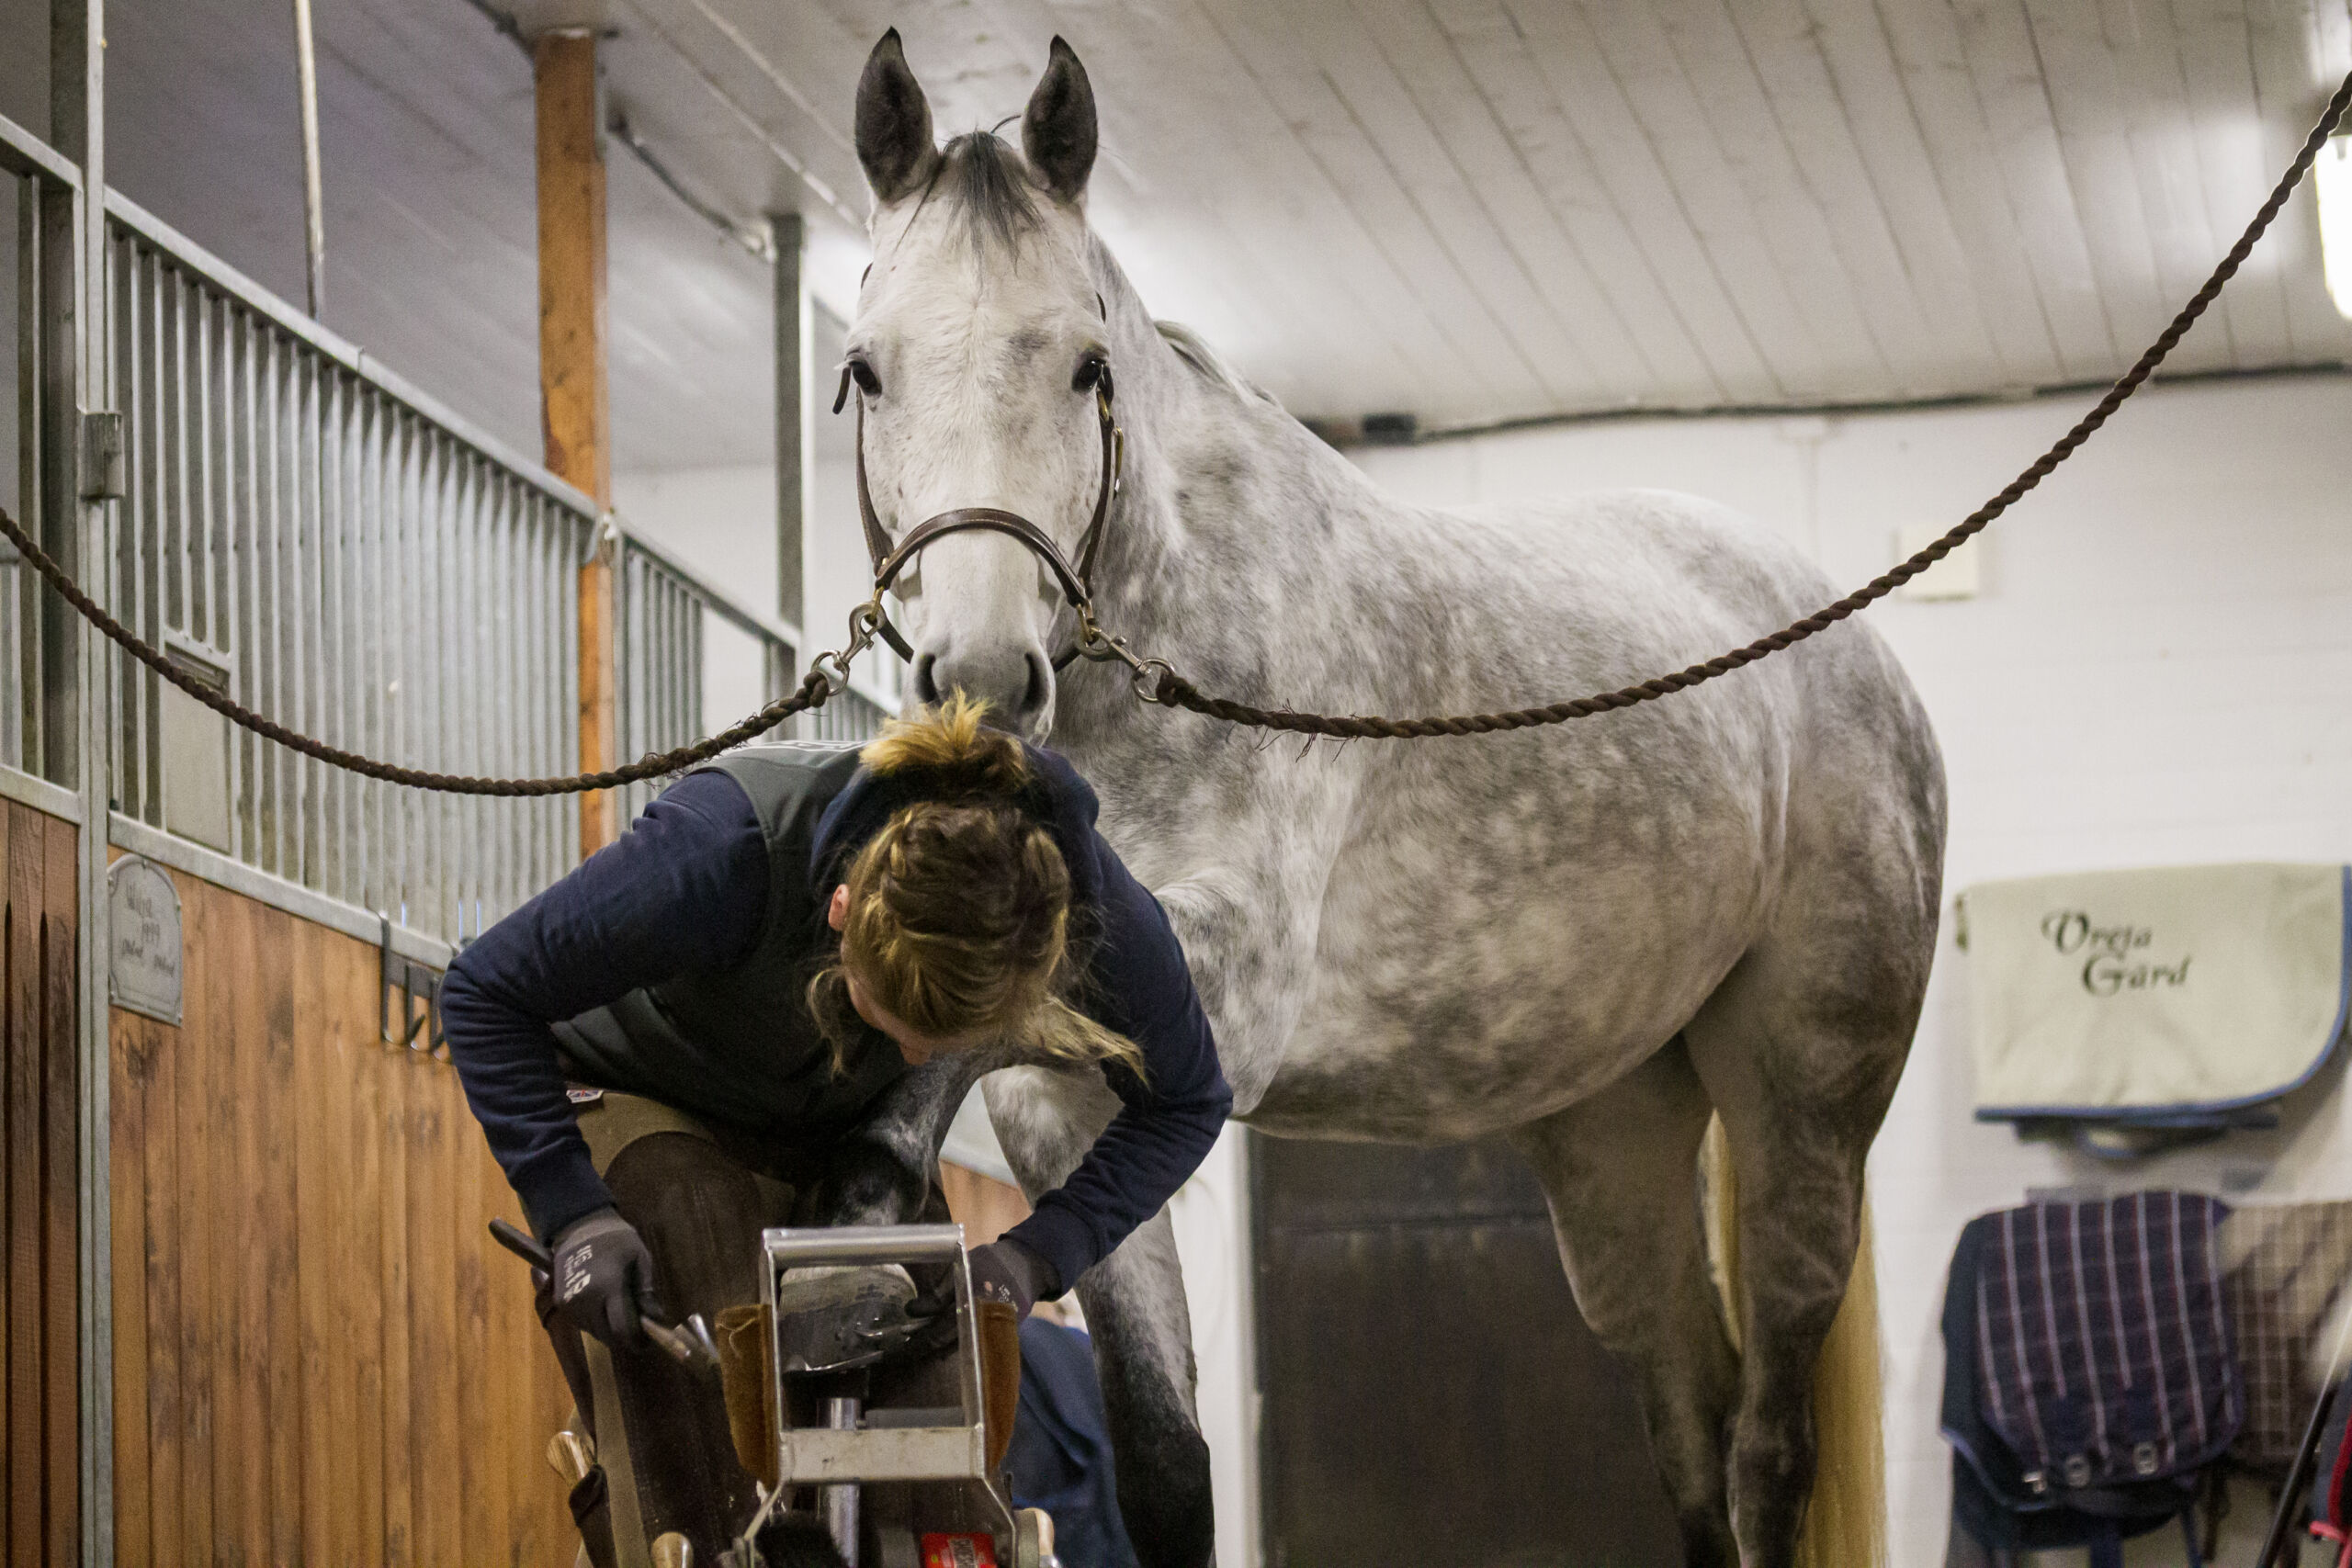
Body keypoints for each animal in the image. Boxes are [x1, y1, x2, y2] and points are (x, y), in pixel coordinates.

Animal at [808, 28, 1947, 1568]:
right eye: (866, 371)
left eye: (1087, 365)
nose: (980, 672)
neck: (1172, 652)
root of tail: (1856, 648)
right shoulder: (1063, 1109)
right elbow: (1165, 1462)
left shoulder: (1219, 993)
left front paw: (859, 1202)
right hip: (1616, 1134)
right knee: (1693, 1426)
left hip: (1802, 1105)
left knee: (1766, 1442)